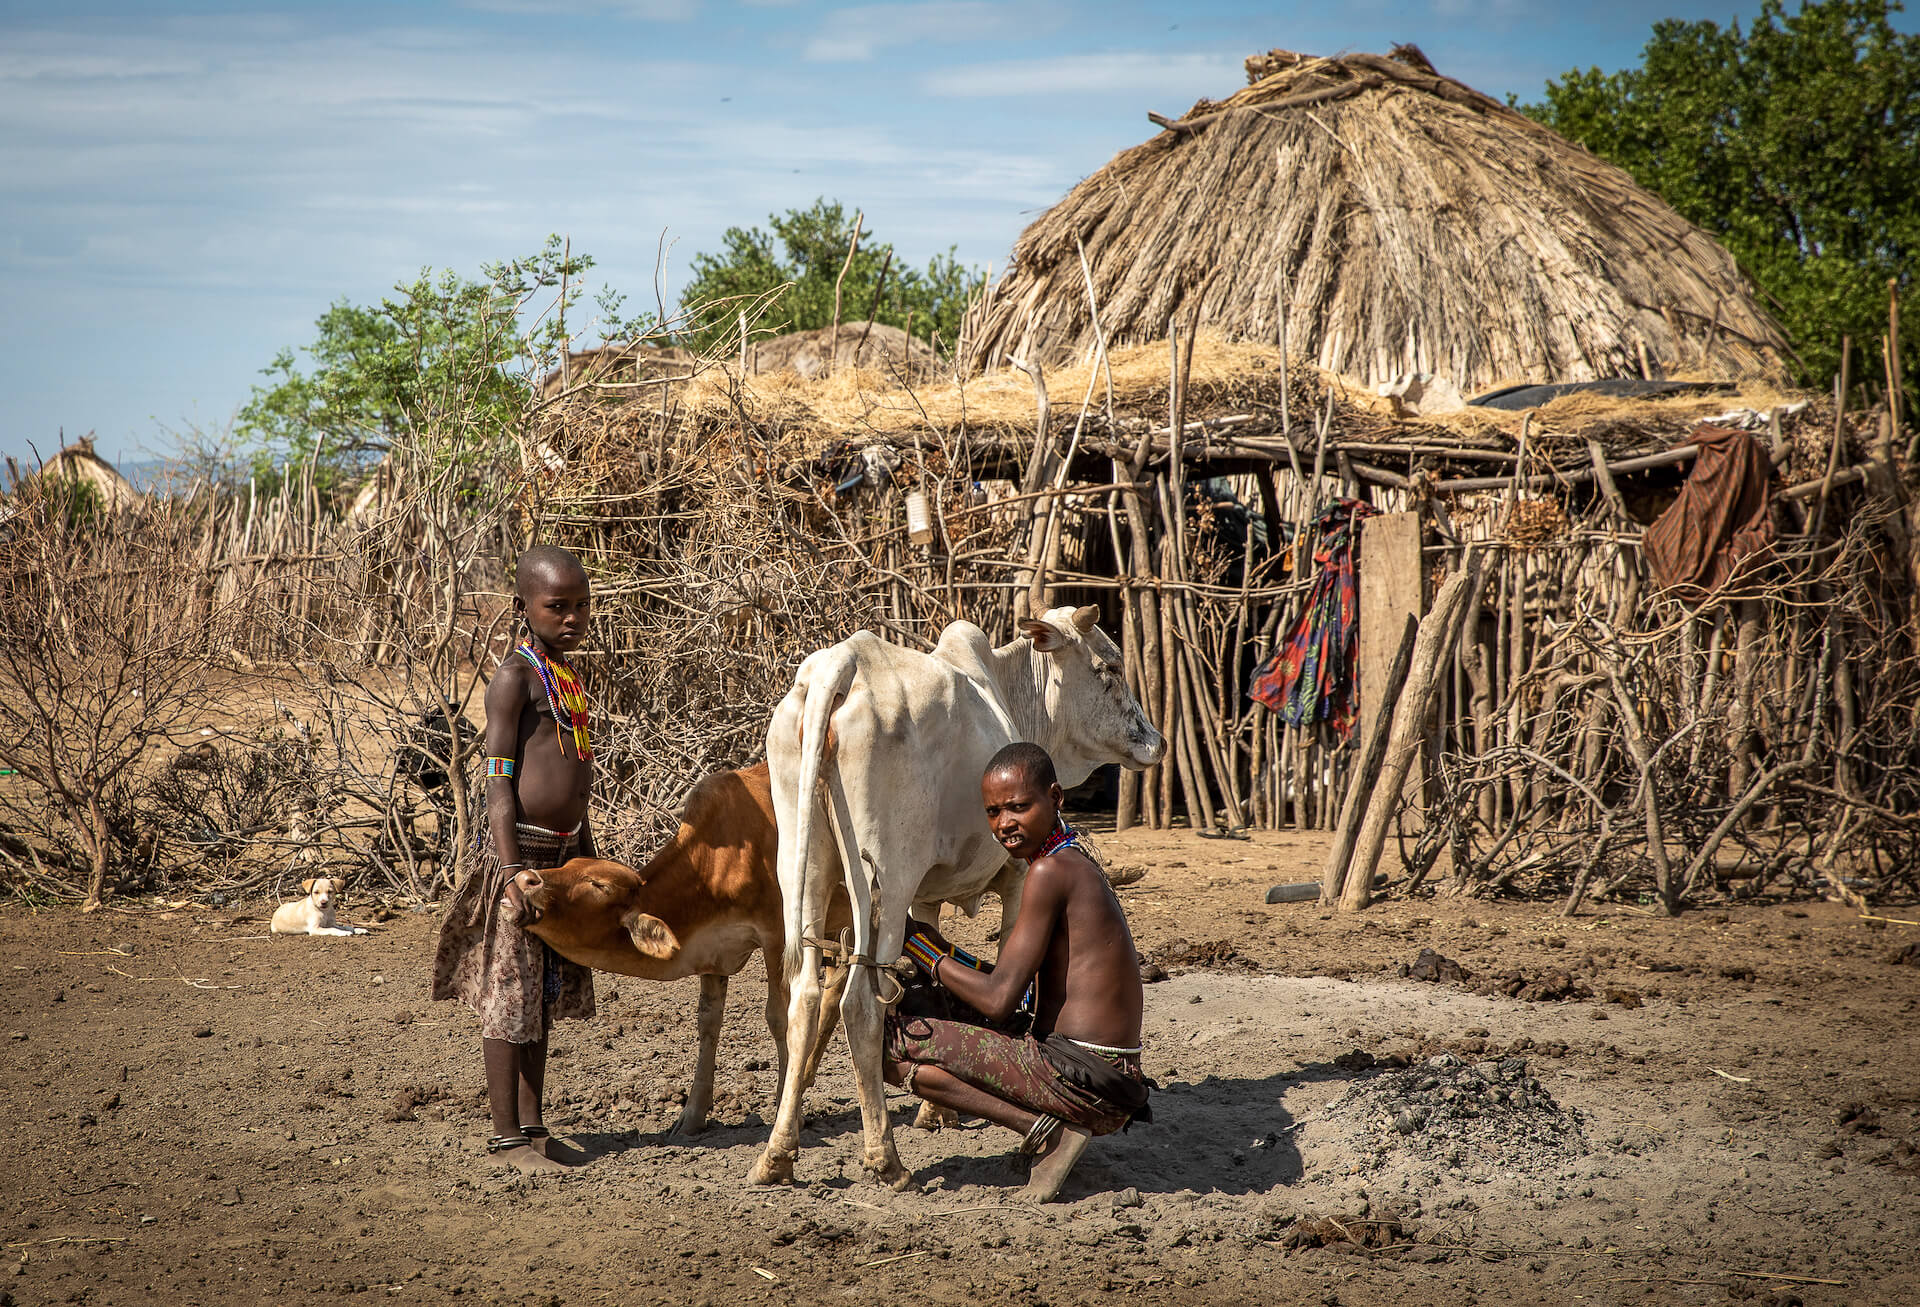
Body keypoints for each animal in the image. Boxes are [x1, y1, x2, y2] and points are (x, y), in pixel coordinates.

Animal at [752, 606, 1167, 1189]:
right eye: (1109, 666)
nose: (1157, 741)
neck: (1016, 695)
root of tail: (840, 662)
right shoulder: (1017, 877)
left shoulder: (924, 899)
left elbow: (934, 977)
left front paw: (937, 1112)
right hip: (886, 876)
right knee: (861, 1002)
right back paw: (885, 1158)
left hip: (803, 865)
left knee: (805, 997)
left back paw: (778, 1154)